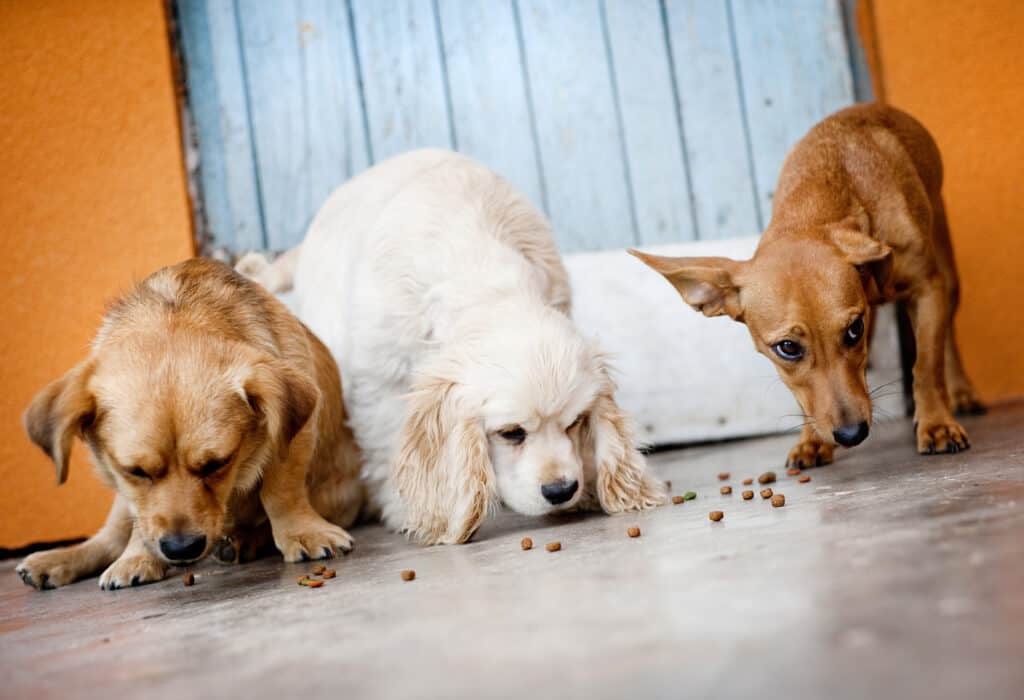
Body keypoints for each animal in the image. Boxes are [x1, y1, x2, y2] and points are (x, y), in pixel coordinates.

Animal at [14, 259, 364, 589]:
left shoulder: (294, 439)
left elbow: (281, 490)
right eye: (135, 471)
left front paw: (301, 532)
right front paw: (137, 558)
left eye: (218, 464)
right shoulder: (127, 488)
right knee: (109, 538)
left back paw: (246, 541)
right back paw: (58, 559)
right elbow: (142, 519)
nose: (181, 549)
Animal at [630, 102, 983, 464]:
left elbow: (926, 367)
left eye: (853, 330)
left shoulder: (926, 290)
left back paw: (961, 392)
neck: (817, 204)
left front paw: (937, 425)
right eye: (788, 347)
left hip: (947, 279)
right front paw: (811, 440)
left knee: (947, 341)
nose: (852, 434)